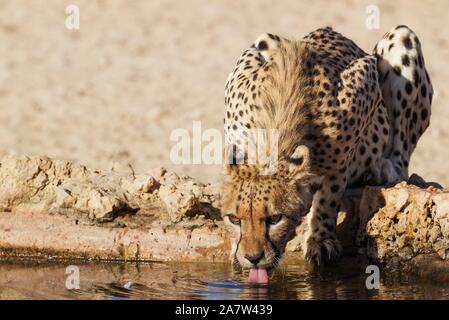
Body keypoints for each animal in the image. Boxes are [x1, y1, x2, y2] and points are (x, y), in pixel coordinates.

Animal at [220, 26, 430, 284]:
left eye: (274, 219)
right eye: (234, 219)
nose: (253, 257)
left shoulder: (365, 75)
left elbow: (330, 193)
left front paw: (320, 239)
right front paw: (235, 249)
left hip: (402, 37)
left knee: (400, 159)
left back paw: (382, 169)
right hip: (265, 39)